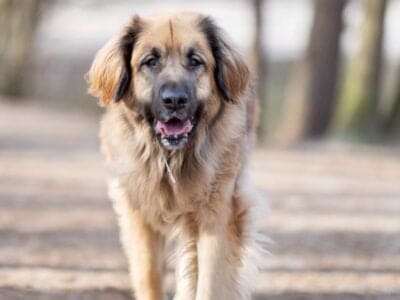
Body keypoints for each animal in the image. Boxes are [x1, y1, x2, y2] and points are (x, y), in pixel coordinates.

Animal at [86, 11, 264, 300]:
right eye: (150, 61)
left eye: (195, 61)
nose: (175, 100)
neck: (169, 160)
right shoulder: (139, 215)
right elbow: (149, 275)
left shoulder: (217, 216)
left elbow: (209, 282)